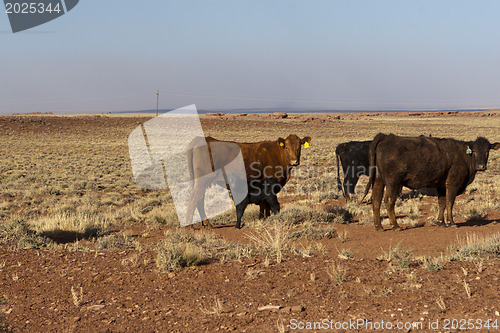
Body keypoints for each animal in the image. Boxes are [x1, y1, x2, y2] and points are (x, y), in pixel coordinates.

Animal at [364, 132, 500, 231]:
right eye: (474, 151)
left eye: (487, 151)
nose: (481, 166)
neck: (464, 156)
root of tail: (386, 136)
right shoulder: (453, 184)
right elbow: (450, 202)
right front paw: (451, 222)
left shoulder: (441, 185)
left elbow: (442, 203)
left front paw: (441, 222)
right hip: (393, 181)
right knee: (389, 200)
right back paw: (396, 226)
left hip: (379, 179)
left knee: (376, 199)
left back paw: (379, 226)